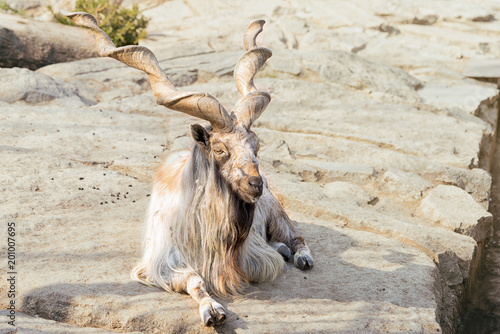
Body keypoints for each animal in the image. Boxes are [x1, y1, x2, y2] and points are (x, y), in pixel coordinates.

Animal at [62, 9, 312, 326]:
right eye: (220, 149)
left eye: (256, 145)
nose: (256, 184)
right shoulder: (159, 263)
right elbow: (194, 280)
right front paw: (212, 310)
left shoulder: (253, 258)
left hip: (277, 213)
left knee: (296, 236)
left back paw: (302, 257)